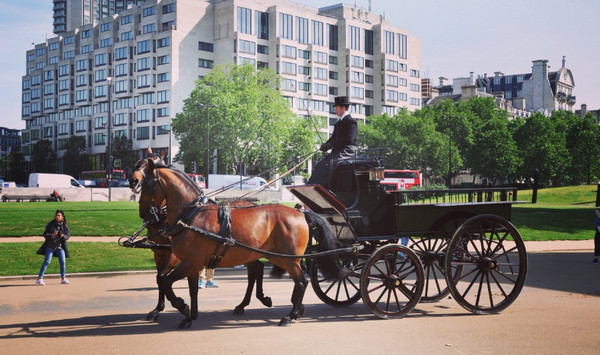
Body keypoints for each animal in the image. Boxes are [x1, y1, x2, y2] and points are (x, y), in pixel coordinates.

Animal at [135, 159, 340, 328]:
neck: (191, 215)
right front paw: (189, 315)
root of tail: (300, 213)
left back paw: (291, 314)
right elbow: (188, 288)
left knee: (302, 281)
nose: (143, 213)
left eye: (146, 184)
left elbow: (166, 281)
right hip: (277, 257)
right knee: (279, 275)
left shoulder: (189, 262)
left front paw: (181, 306)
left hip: (288, 259)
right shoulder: (191, 263)